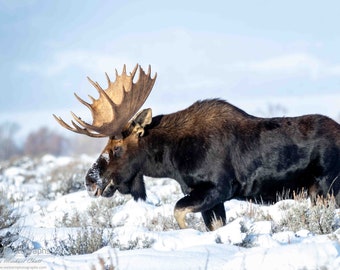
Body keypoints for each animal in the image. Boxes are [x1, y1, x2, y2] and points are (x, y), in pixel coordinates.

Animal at [53, 64, 340, 231]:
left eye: (117, 148)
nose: (90, 181)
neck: (170, 160)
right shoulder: (207, 195)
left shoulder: (218, 188)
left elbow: (178, 212)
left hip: (327, 189)